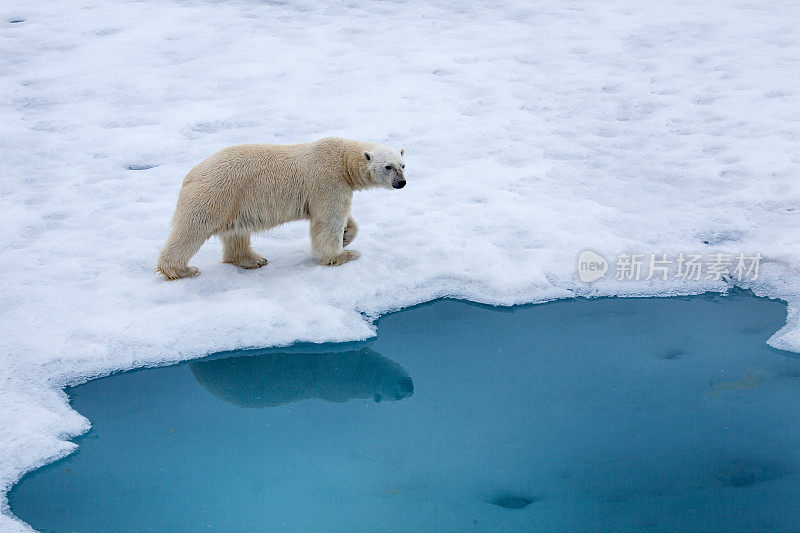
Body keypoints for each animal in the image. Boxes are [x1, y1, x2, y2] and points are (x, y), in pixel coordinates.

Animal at [156, 136, 406, 278]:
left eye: (402, 164)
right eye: (388, 166)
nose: (401, 182)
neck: (342, 160)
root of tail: (191, 174)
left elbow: (343, 217)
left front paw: (346, 236)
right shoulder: (326, 180)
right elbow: (328, 220)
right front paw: (344, 255)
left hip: (235, 201)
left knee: (236, 232)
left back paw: (253, 259)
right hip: (216, 194)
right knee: (192, 229)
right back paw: (181, 270)